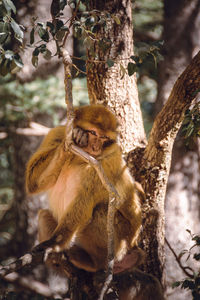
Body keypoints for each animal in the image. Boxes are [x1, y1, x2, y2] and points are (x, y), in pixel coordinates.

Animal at [26, 104, 144, 274]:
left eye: (104, 138)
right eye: (93, 133)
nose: (95, 146)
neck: (79, 156)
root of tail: (133, 246)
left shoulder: (104, 162)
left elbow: (83, 204)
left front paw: (53, 244)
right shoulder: (56, 133)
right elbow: (33, 182)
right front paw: (74, 139)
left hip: (122, 242)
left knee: (100, 211)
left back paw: (94, 262)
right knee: (43, 215)